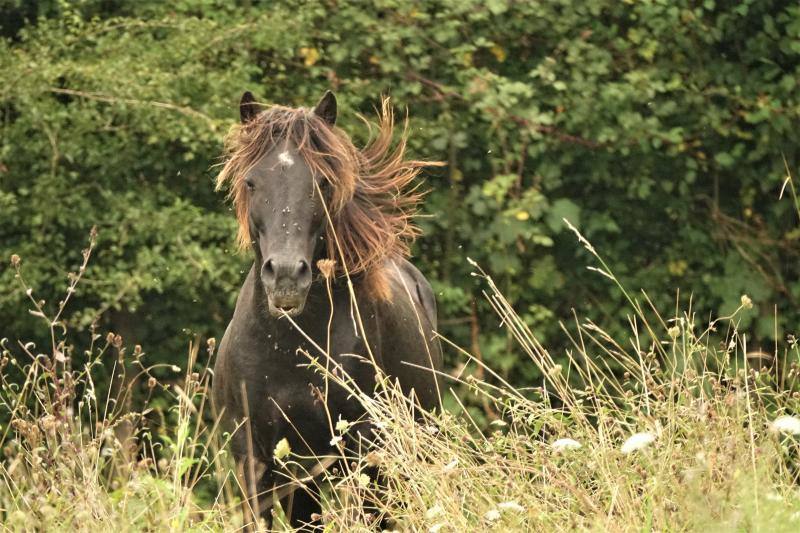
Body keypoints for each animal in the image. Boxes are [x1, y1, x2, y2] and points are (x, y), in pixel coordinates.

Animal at [209, 91, 444, 528]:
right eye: (251, 181)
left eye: (321, 181)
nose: (286, 275)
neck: (288, 347)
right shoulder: (255, 459)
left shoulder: (363, 449)